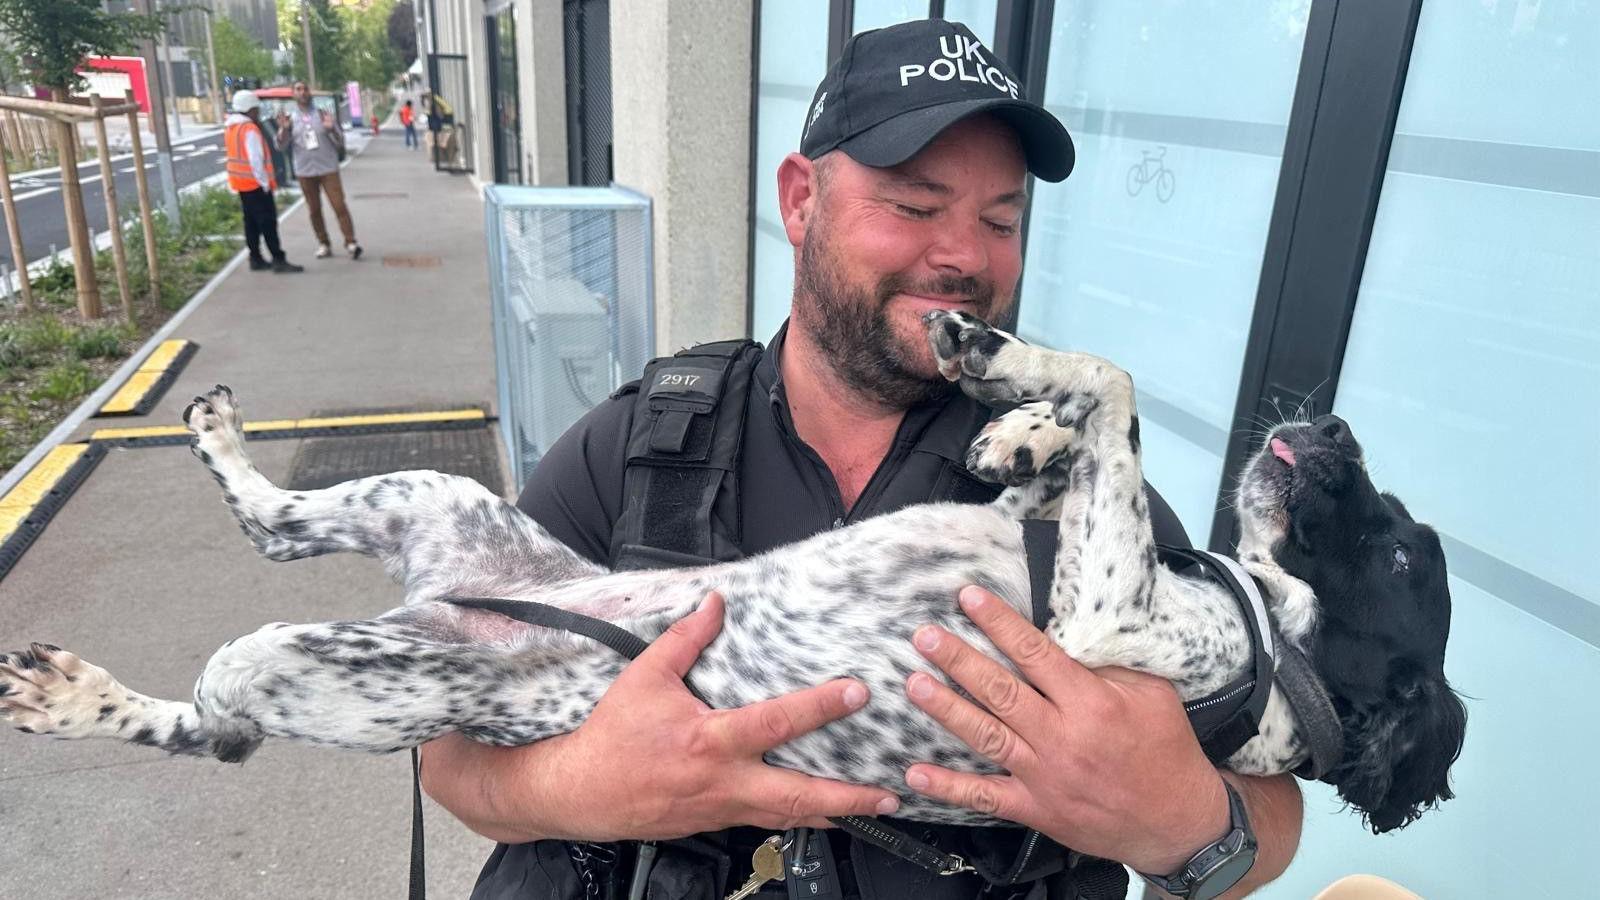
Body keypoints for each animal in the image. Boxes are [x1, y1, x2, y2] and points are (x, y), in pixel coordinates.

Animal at [0, 312, 1465, 832]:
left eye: (1404, 549)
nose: (1333, 424)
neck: (1269, 642)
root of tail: (453, 604)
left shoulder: (1100, 624)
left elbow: (1114, 380)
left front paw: (1021, 388)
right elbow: (1084, 408)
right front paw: (1014, 415)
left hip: (346, 669)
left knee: (216, 713)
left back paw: (86, 700)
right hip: (434, 502)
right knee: (269, 530)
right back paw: (209, 450)